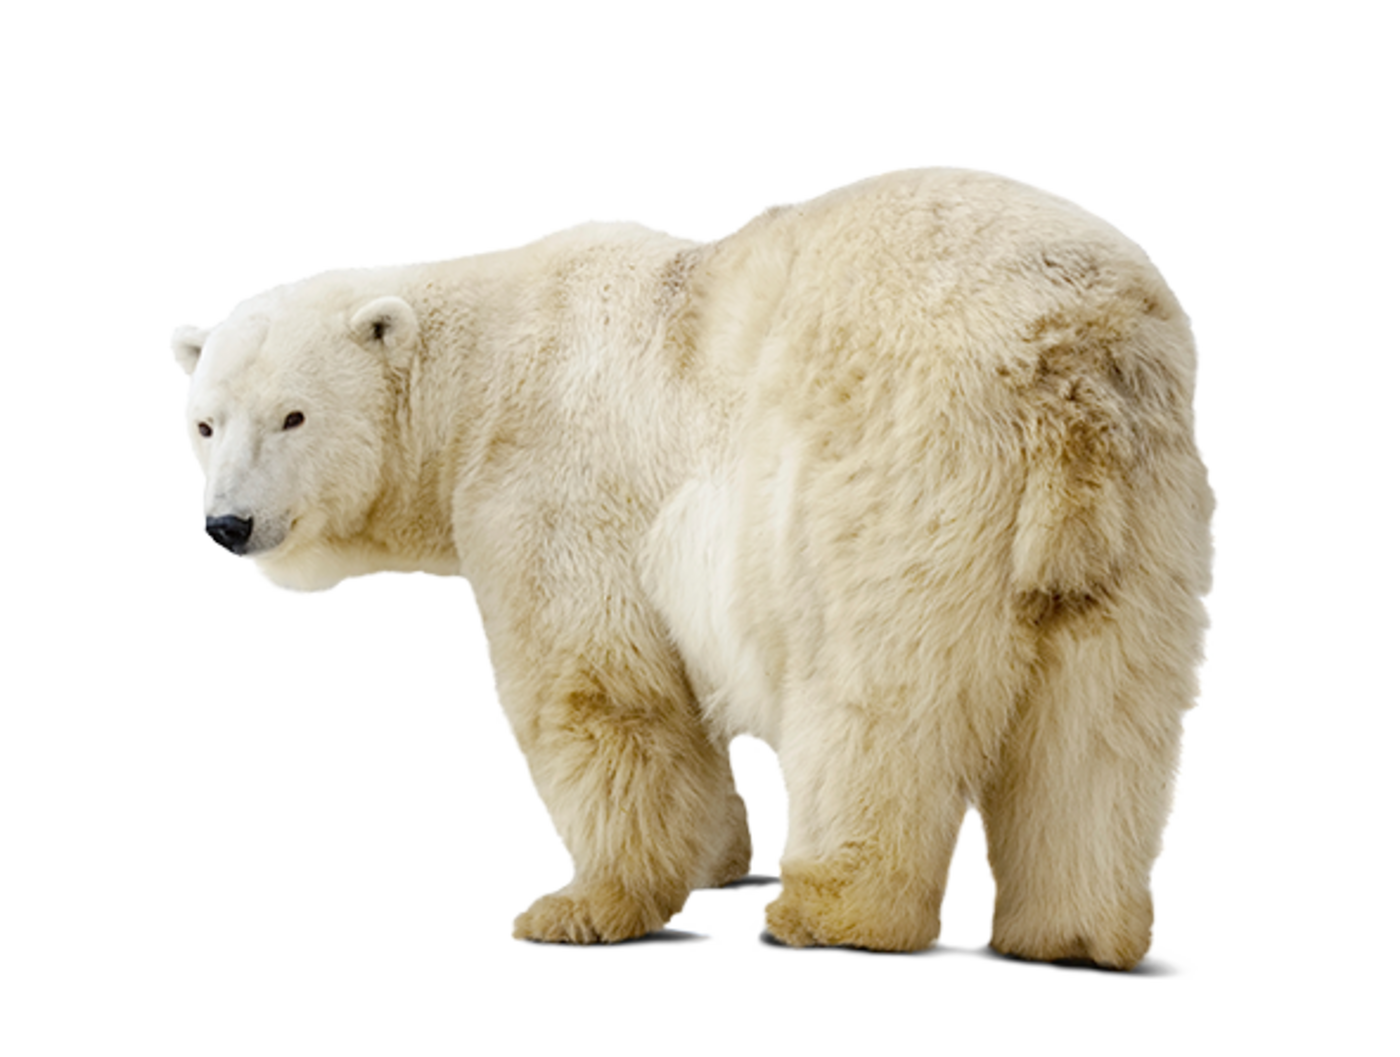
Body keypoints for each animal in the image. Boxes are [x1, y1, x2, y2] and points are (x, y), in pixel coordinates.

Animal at [166, 165, 1216, 969]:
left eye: (294, 414)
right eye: (206, 421)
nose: (229, 524)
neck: (481, 372)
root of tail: (1068, 349)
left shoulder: (553, 476)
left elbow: (599, 689)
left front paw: (577, 905)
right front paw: (714, 857)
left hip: (907, 463)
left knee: (876, 695)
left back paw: (826, 909)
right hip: (1141, 497)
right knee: (1102, 716)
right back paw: (1075, 931)